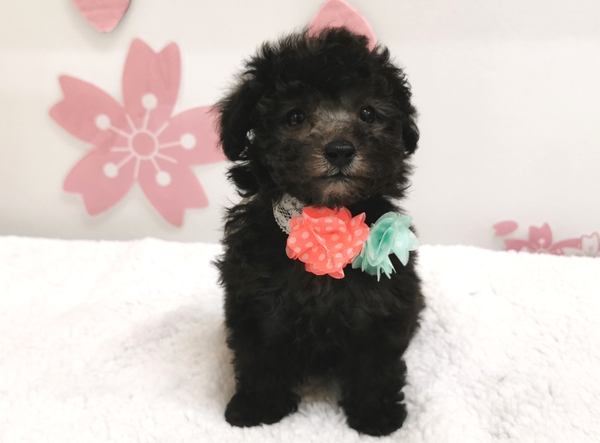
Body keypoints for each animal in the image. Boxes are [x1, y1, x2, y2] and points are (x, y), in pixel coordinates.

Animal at [215, 28, 424, 437]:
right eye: (295, 116)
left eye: (367, 113)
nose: (340, 150)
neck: (325, 221)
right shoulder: (254, 300)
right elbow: (259, 357)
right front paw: (257, 407)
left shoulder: (383, 303)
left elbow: (377, 362)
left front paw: (376, 415)